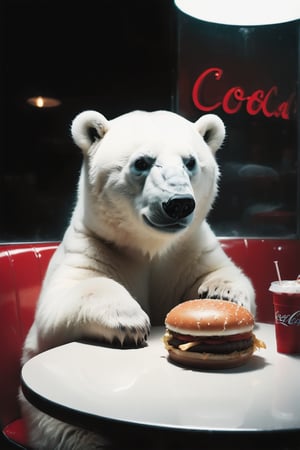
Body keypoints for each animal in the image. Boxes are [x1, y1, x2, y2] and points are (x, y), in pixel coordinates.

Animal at [20, 110, 255, 450]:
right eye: (142, 162)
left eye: (190, 161)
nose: (179, 203)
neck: (149, 247)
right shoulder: (95, 244)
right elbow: (62, 300)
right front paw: (129, 322)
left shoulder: (189, 248)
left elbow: (222, 272)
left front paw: (221, 296)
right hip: (53, 422)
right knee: (77, 436)